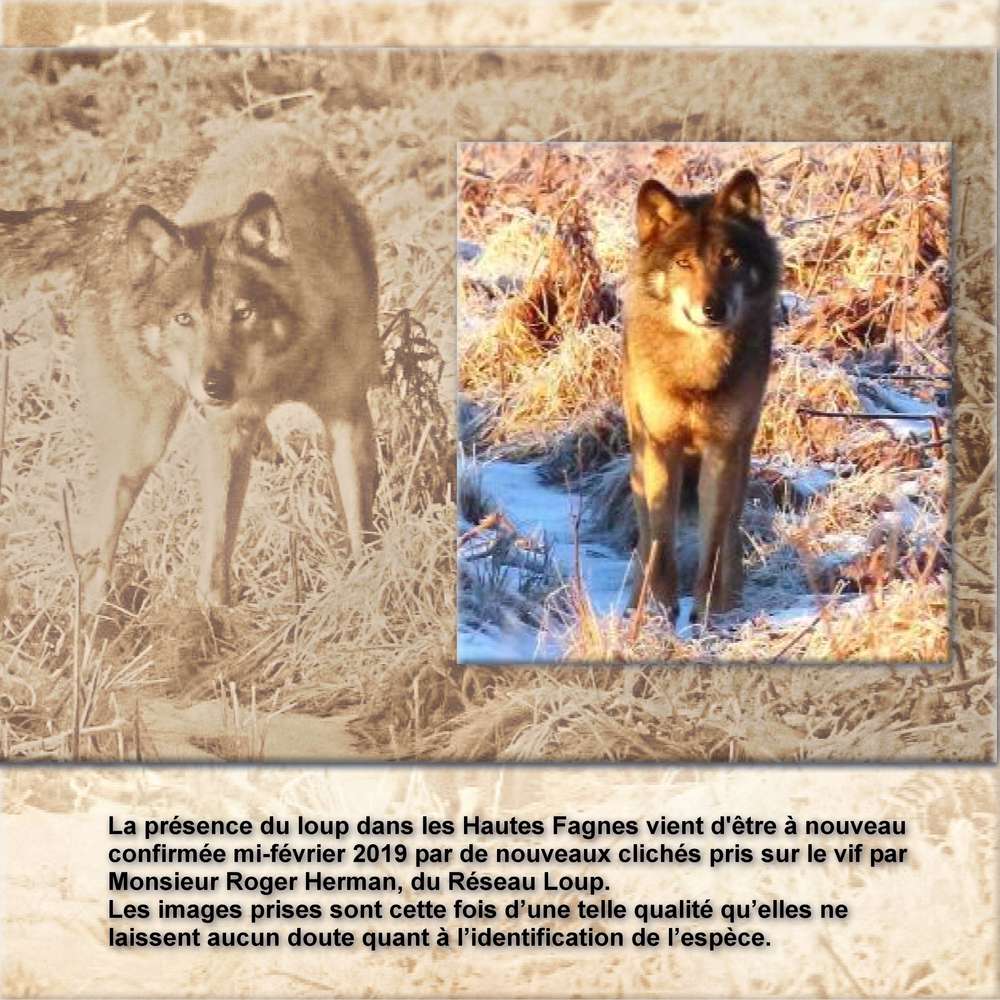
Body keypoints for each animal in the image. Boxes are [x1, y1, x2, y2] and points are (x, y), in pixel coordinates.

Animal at [76, 124, 381, 613]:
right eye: (185, 318)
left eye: (242, 313)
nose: (214, 386)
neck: (282, 365)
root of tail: (107, 204)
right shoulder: (226, 431)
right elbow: (217, 544)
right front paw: (213, 615)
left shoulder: (345, 413)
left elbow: (357, 522)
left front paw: (364, 585)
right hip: (141, 444)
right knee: (97, 537)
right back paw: (92, 620)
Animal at [622, 168, 779, 622]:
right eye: (684, 263)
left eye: (730, 259)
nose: (713, 309)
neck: (697, 372)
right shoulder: (661, 447)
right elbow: (661, 543)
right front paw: (660, 612)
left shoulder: (722, 450)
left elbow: (712, 544)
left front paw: (707, 613)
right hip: (638, 457)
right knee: (645, 535)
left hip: (742, 457)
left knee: (730, 531)